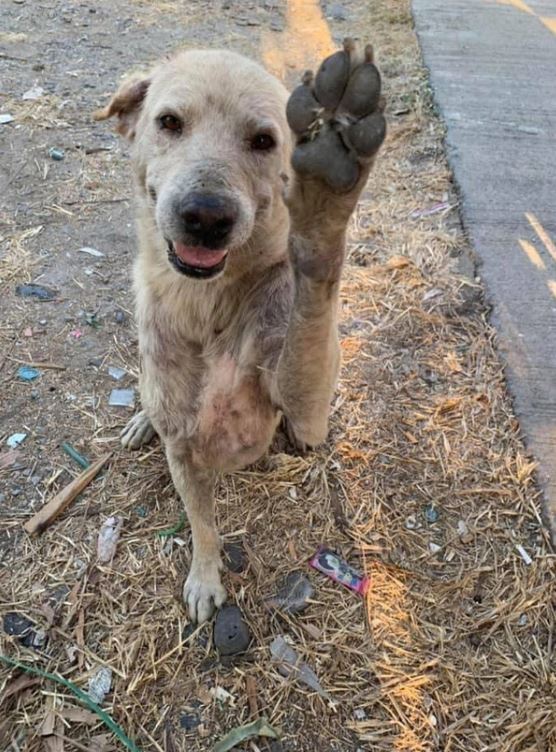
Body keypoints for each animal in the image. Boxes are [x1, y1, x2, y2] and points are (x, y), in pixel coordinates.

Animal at [95, 36, 384, 624]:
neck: (207, 307)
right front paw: (206, 578)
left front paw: (325, 197)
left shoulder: (306, 396)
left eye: (264, 140)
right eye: (169, 122)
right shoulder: (183, 450)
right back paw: (140, 421)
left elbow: (312, 296)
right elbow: (202, 525)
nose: (205, 217)